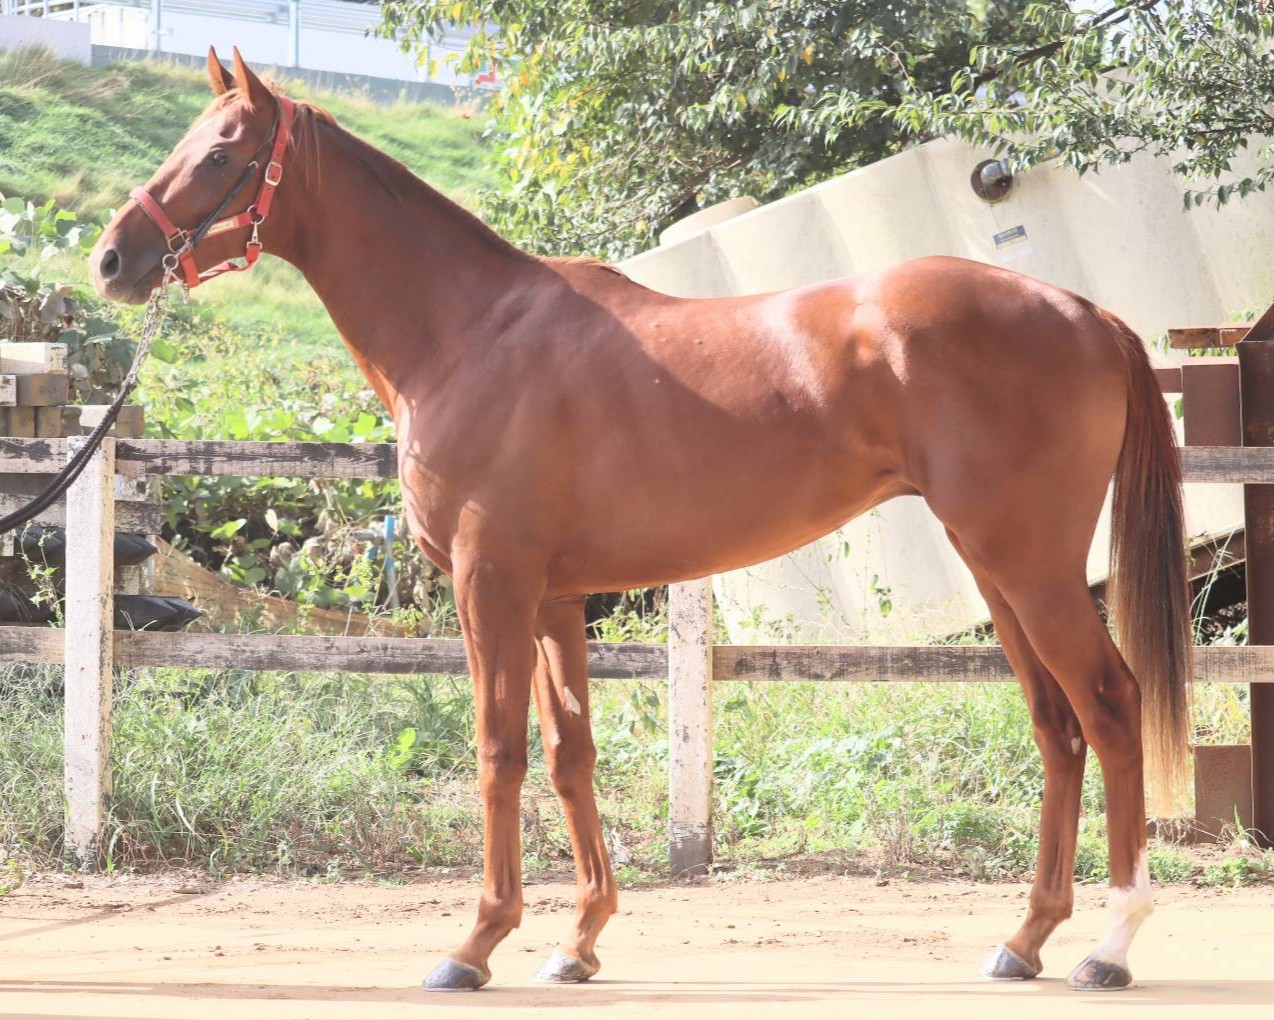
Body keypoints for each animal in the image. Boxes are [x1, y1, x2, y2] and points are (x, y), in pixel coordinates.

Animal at [89, 47, 1191, 993]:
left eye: (222, 149)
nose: (110, 259)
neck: (468, 332)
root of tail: (1084, 313)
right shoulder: (553, 601)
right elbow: (567, 754)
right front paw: (575, 942)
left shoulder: (489, 586)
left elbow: (498, 751)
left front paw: (475, 943)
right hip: (992, 564)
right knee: (1056, 726)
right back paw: (1024, 939)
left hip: (1031, 565)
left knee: (1108, 705)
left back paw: (1109, 945)